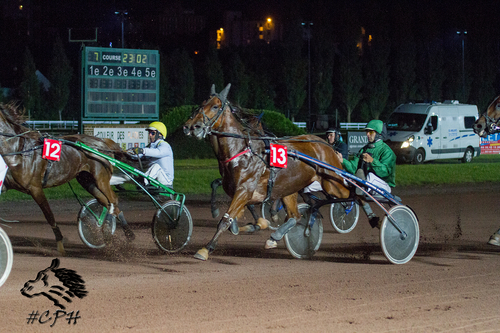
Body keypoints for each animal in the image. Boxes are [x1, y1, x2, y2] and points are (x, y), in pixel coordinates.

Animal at [182, 83, 350, 260]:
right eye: (201, 104)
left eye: (215, 106)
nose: (191, 126)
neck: (242, 151)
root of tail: (325, 144)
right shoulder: (238, 190)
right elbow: (230, 212)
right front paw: (251, 224)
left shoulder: (244, 190)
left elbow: (226, 220)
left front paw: (206, 249)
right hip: (290, 187)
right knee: (296, 216)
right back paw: (277, 236)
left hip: (332, 184)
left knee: (349, 195)